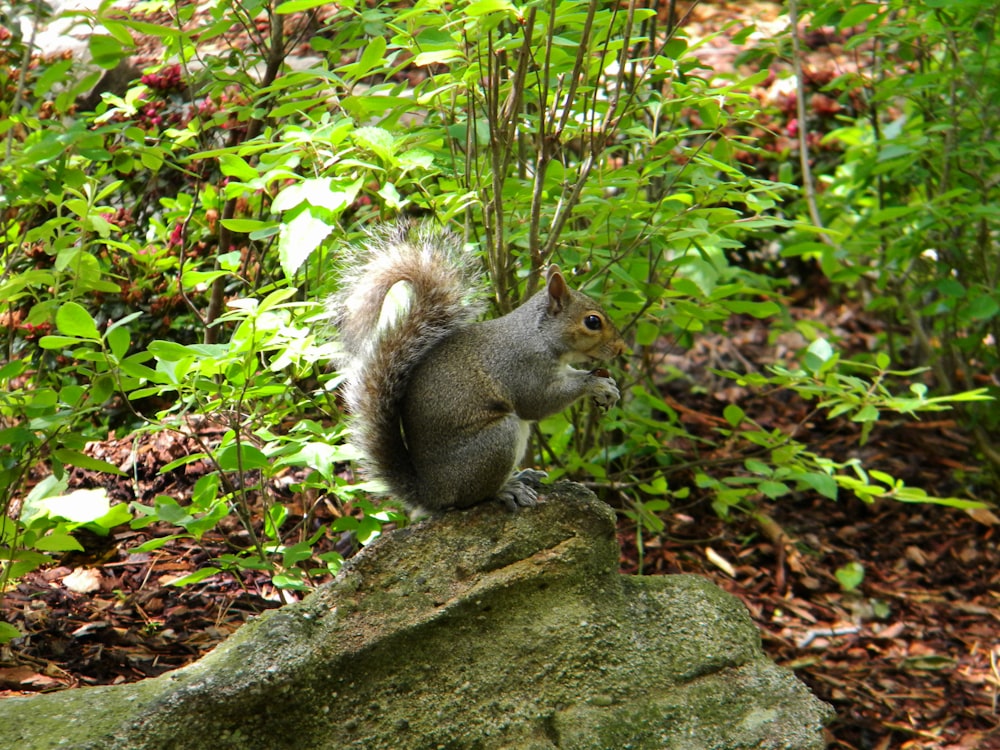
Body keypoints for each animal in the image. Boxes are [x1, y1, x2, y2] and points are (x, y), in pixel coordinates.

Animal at [332, 223, 624, 516]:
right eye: (592, 322)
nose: (621, 349)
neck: (540, 335)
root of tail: (431, 493)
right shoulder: (520, 366)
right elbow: (537, 402)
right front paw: (594, 385)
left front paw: (608, 387)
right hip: (496, 441)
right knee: (473, 497)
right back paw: (507, 489)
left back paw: (522, 476)